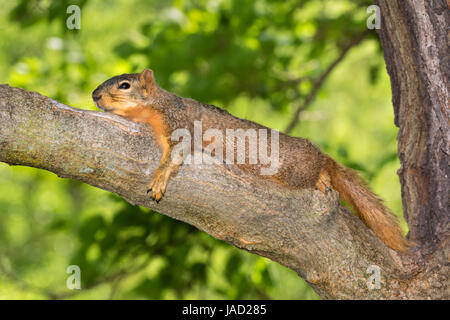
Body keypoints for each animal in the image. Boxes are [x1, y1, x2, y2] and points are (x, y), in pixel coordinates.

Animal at [92, 69, 412, 251]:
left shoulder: (179, 122)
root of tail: (317, 152)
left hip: (297, 169)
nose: (94, 95)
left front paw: (159, 178)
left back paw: (322, 177)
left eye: (124, 85)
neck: (155, 106)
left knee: (318, 171)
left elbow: (175, 152)